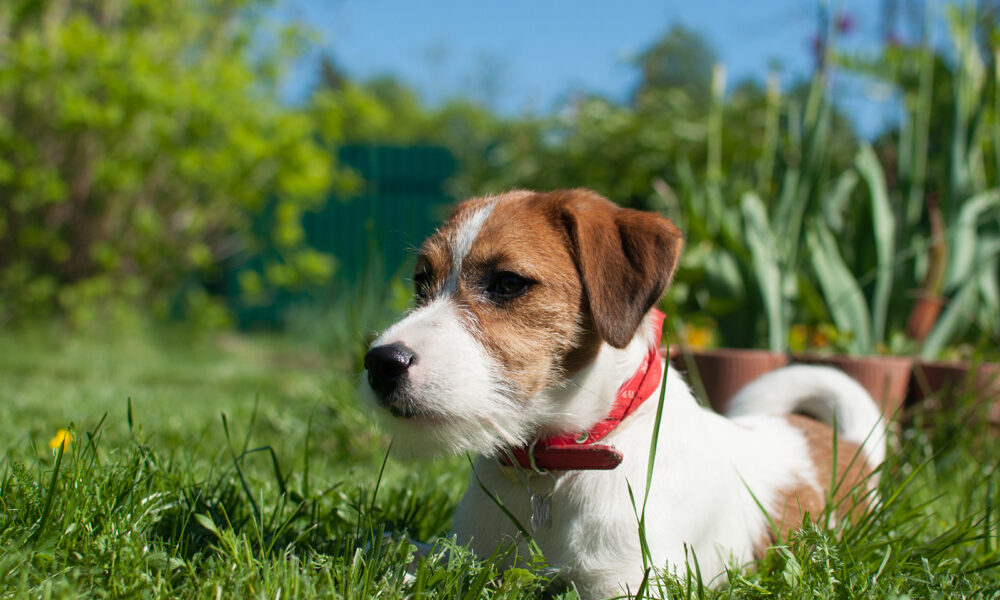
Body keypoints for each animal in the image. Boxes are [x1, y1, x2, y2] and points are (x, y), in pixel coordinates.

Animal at [360, 190, 884, 596]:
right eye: (421, 281)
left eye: (508, 283)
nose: (380, 363)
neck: (553, 465)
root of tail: (851, 445)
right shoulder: (462, 554)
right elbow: (406, 556)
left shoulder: (632, 583)